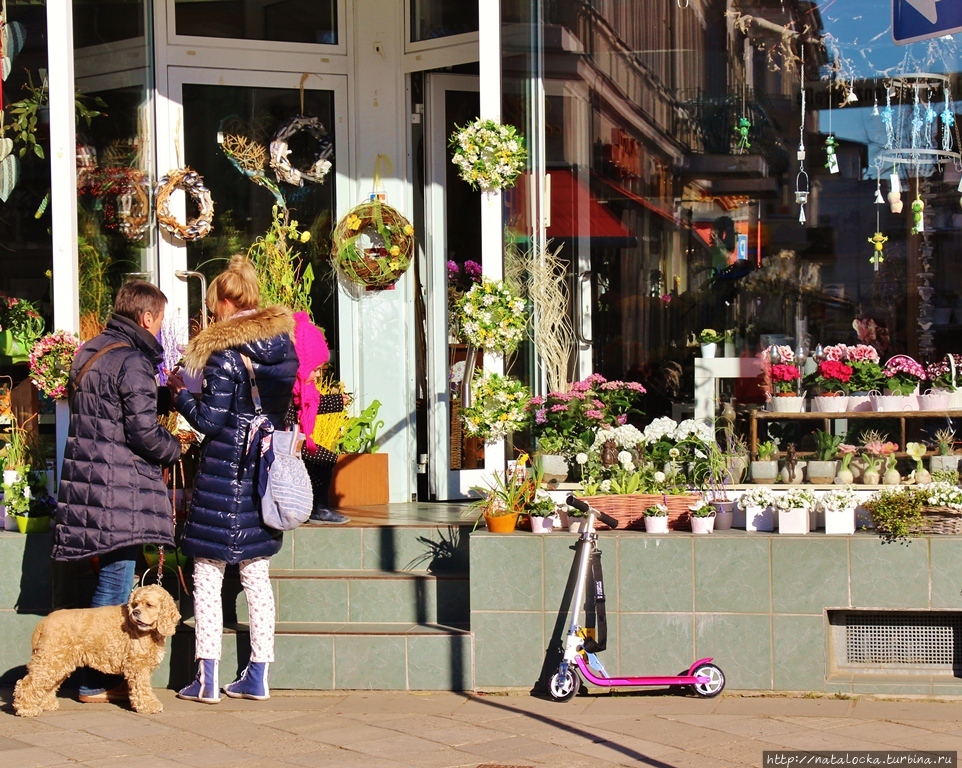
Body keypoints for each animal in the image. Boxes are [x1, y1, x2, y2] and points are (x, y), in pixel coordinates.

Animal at [14, 584, 180, 716]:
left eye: (149, 605)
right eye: (135, 604)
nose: (135, 612)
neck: (150, 631)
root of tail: (43, 622)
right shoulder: (138, 665)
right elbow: (143, 687)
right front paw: (149, 706)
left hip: (59, 661)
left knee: (48, 685)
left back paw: (47, 704)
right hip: (50, 659)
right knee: (28, 683)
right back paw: (27, 709)